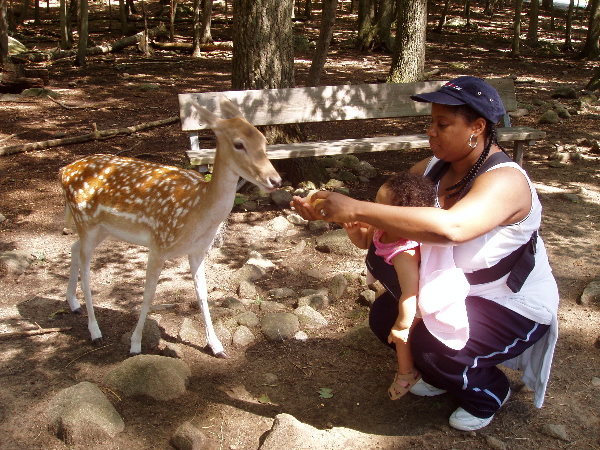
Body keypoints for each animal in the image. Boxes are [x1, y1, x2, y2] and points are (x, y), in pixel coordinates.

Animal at [58, 96, 282, 356]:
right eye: (239, 144)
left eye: (263, 140)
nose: (275, 180)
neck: (197, 211)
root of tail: (63, 171)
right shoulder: (159, 243)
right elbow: (148, 295)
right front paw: (135, 344)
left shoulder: (198, 250)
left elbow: (202, 294)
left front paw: (216, 346)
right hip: (86, 220)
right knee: (86, 271)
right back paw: (95, 331)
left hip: (102, 228)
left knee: (73, 247)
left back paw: (73, 304)